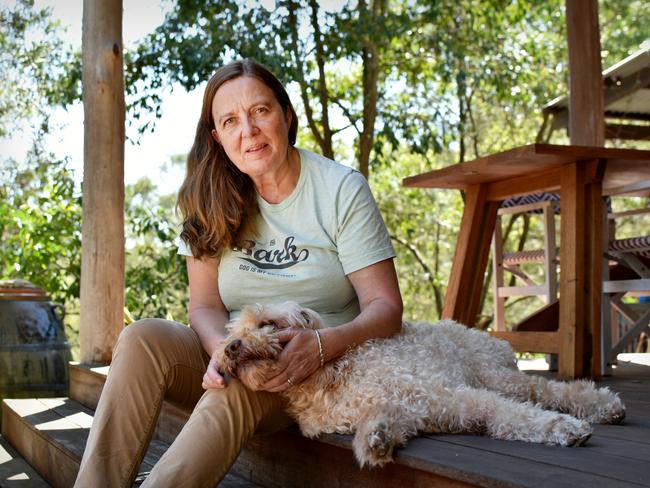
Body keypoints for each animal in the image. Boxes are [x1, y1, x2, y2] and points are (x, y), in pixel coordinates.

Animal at [216, 304, 624, 468]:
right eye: (234, 332)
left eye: (268, 323)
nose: (231, 347)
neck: (328, 376)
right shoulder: (407, 410)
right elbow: (382, 420)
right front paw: (375, 440)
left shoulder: (456, 397)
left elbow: (514, 416)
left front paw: (561, 428)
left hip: (497, 377)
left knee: (549, 392)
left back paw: (604, 407)